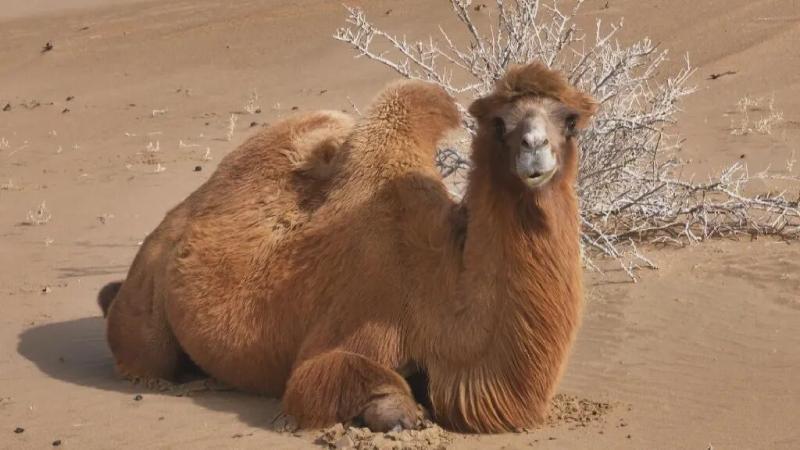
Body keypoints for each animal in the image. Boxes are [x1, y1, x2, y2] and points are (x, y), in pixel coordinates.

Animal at [99, 61, 598, 434]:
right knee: (146, 354)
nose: (534, 149)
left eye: (569, 121)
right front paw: (400, 414)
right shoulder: (356, 319)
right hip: (147, 308)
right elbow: (326, 380)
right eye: (499, 123)